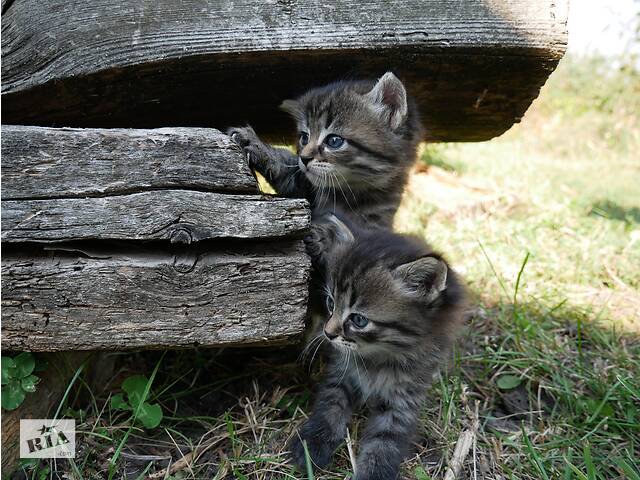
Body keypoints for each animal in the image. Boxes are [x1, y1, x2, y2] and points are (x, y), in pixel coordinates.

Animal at [290, 215, 464, 480]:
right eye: (330, 303)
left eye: (359, 320)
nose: (328, 333)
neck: (380, 355)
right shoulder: (341, 372)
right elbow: (330, 404)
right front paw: (314, 443)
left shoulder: (405, 397)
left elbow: (386, 439)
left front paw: (374, 471)